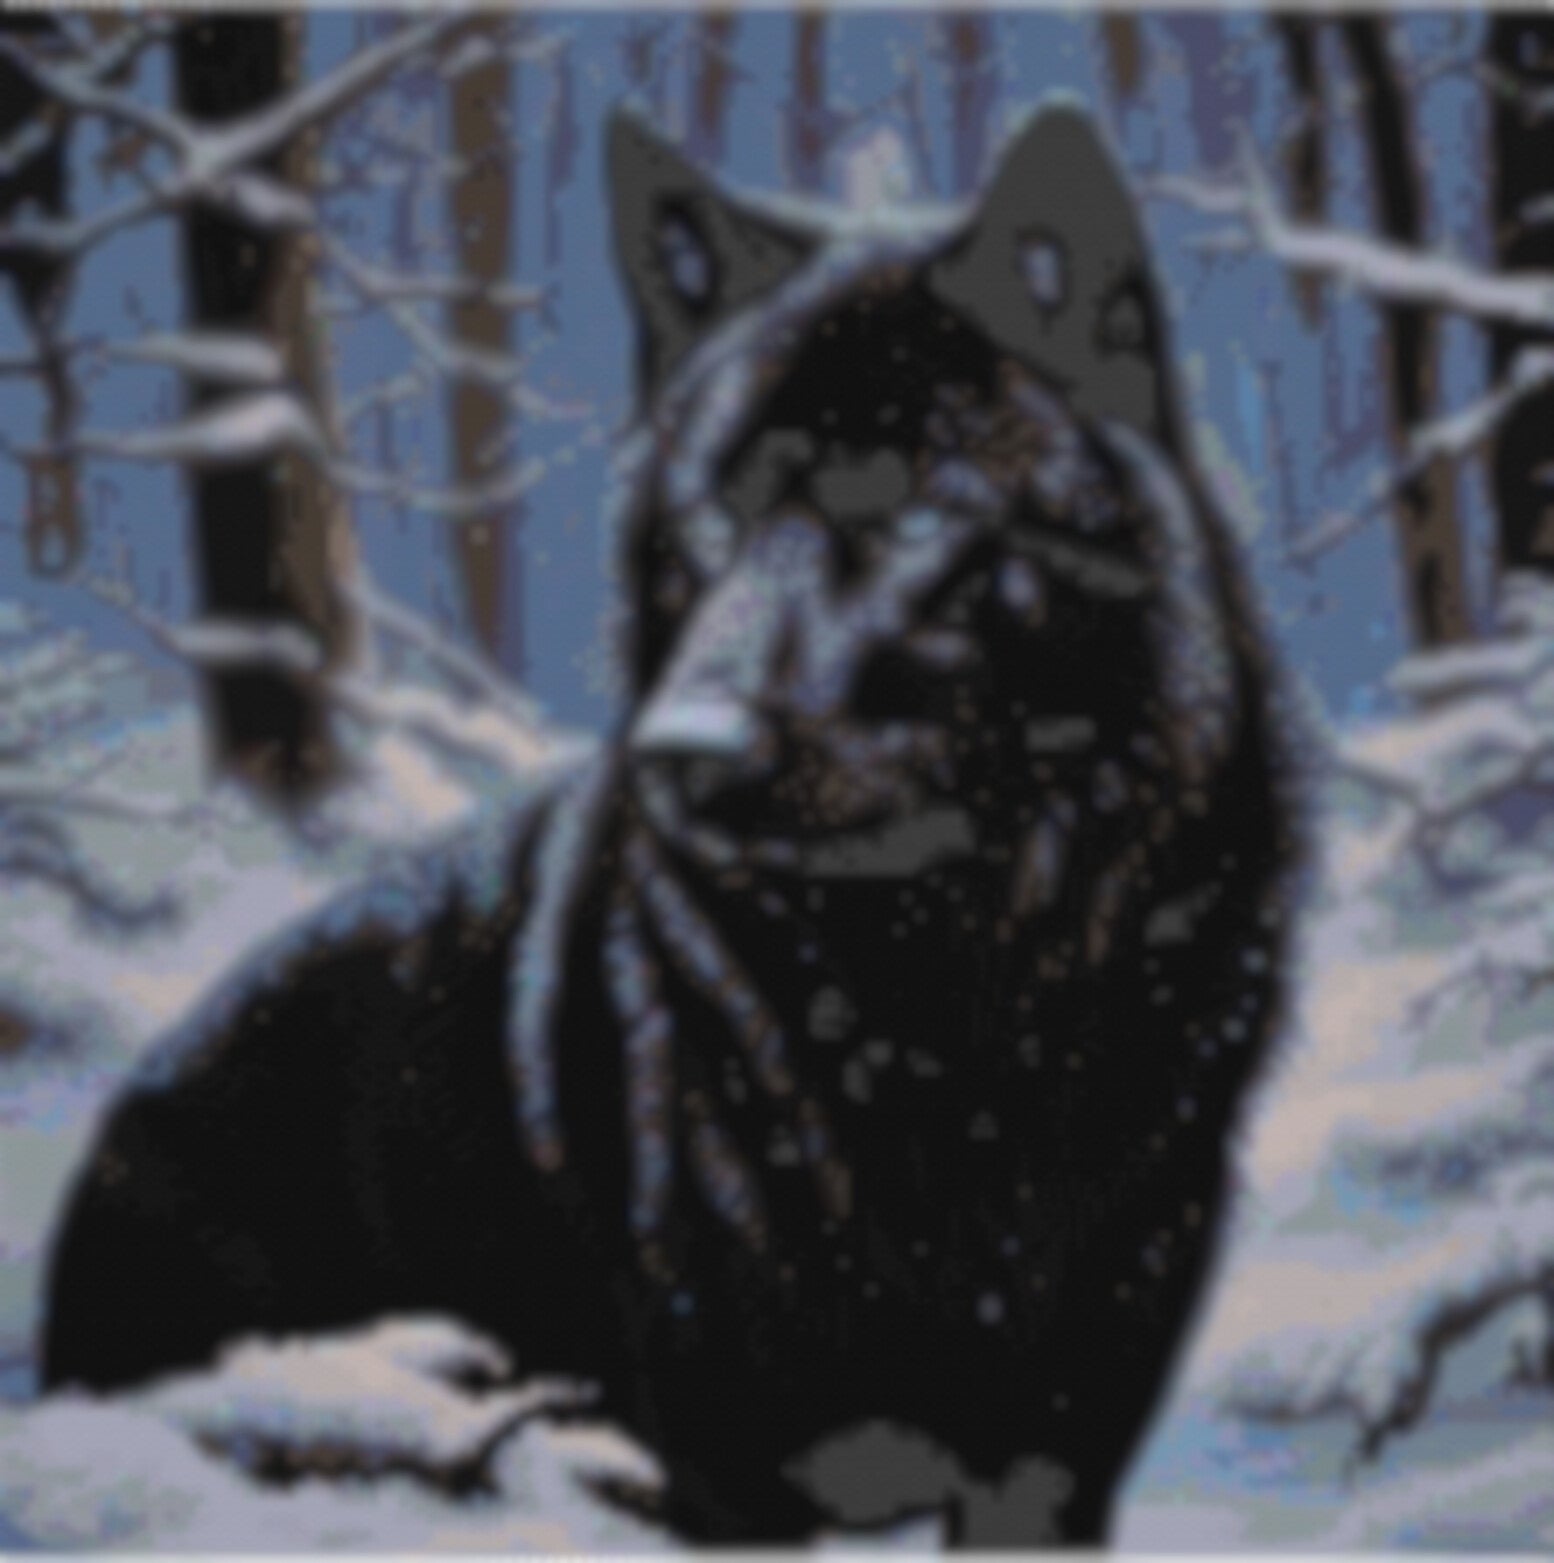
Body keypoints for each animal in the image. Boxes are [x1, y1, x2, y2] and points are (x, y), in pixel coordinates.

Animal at [42, 104, 1299, 1546]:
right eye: (712, 516)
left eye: (903, 516)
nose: (680, 749)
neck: (946, 1033)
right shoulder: (724, 1467)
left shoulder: (1051, 1465)